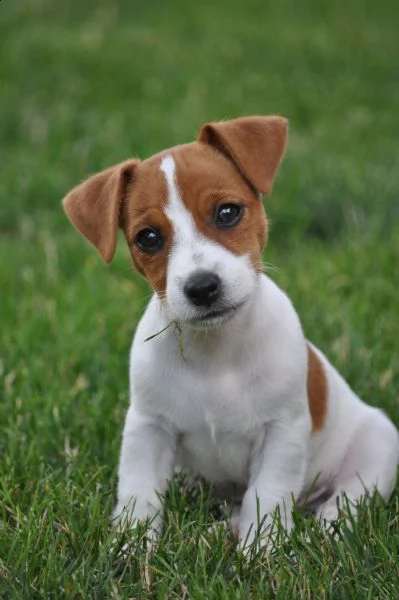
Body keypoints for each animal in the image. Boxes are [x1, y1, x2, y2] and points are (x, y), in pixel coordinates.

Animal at [62, 115, 399, 548]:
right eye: (148, 238)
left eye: (227, 212)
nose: (202, 287)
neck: (216, 352)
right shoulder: (148, 428)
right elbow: (139, 494)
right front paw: (131, 548)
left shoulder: (282, 434)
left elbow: (267, 496)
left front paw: (263, 551)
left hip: (377, 447)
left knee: (344, 502)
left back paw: (315, 534)